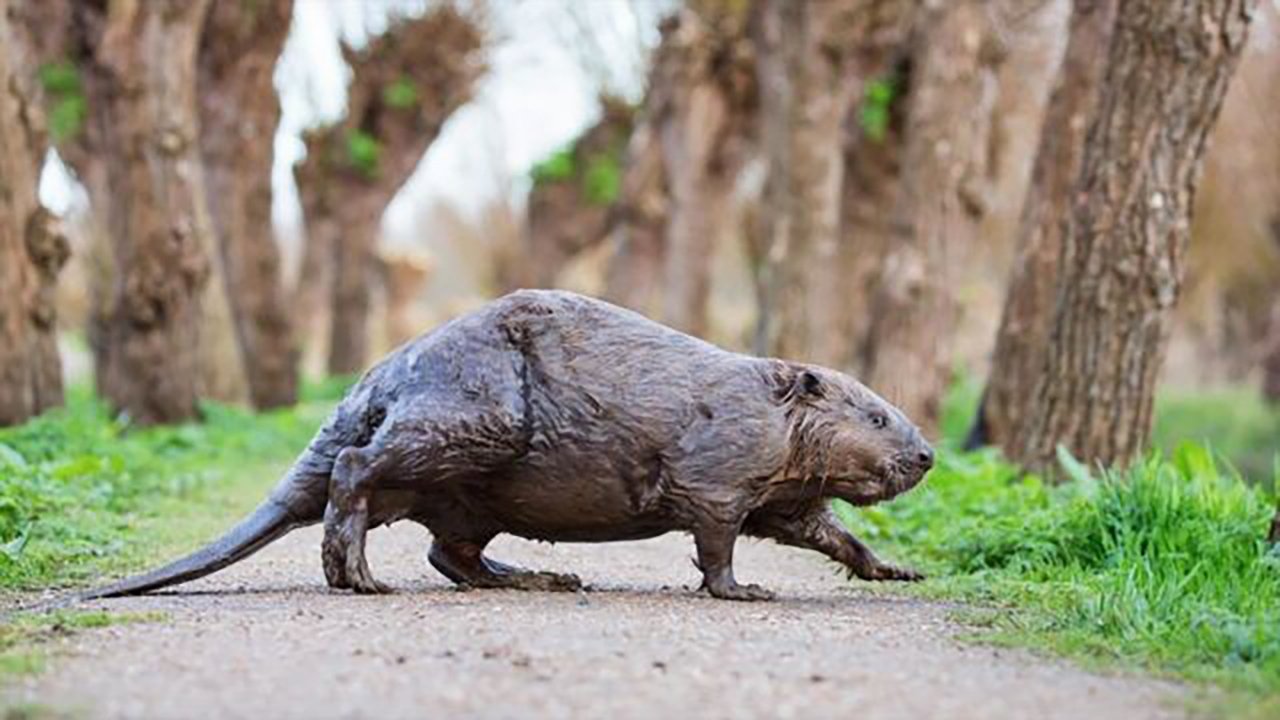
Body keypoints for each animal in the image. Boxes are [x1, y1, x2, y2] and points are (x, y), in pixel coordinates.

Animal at [87, 288, 931, 597]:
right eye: (878, 416)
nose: (925, 454)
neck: (757, 401)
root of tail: (370, 387)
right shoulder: (718, 469)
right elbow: (716, 539)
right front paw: (744, 590)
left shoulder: (781, 490)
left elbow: (820, 529)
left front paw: (897, 569)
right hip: (476, 419)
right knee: (358, 470)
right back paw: (357, 574)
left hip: (472, 487)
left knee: (450, 551)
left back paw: (541, 577)